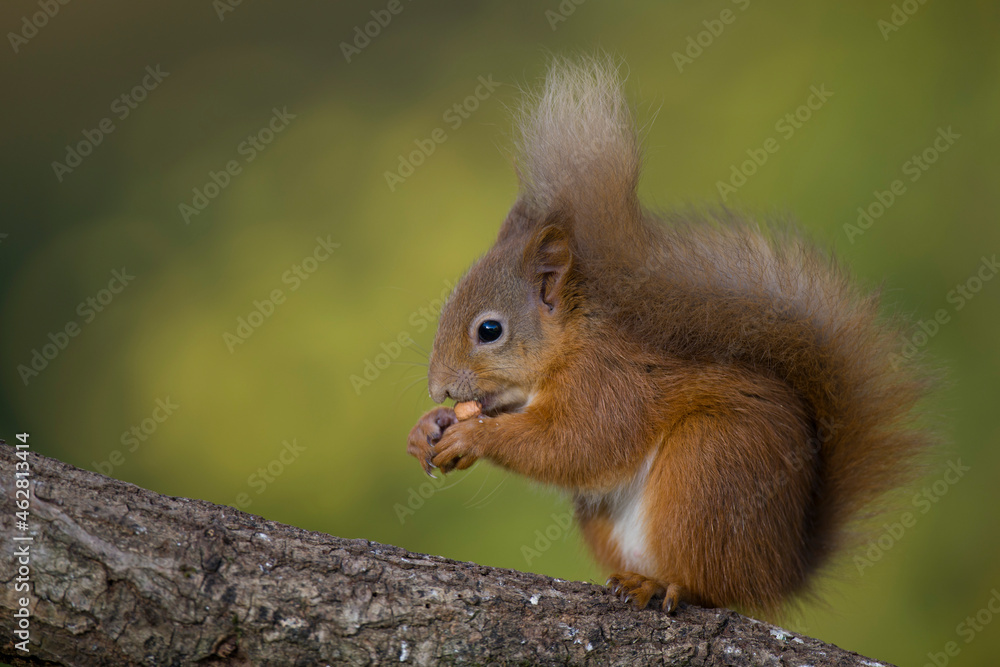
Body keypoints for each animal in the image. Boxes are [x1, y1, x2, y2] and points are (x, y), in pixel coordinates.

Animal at [406, 55, 932, 616]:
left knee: (712, 586)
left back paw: (664, 585)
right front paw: (428, 428)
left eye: (489, 330)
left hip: (708, 470)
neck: (570, 348)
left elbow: (574, 445)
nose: (439, 388)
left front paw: (474, 435)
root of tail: (781, 570)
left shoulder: (610, 386)